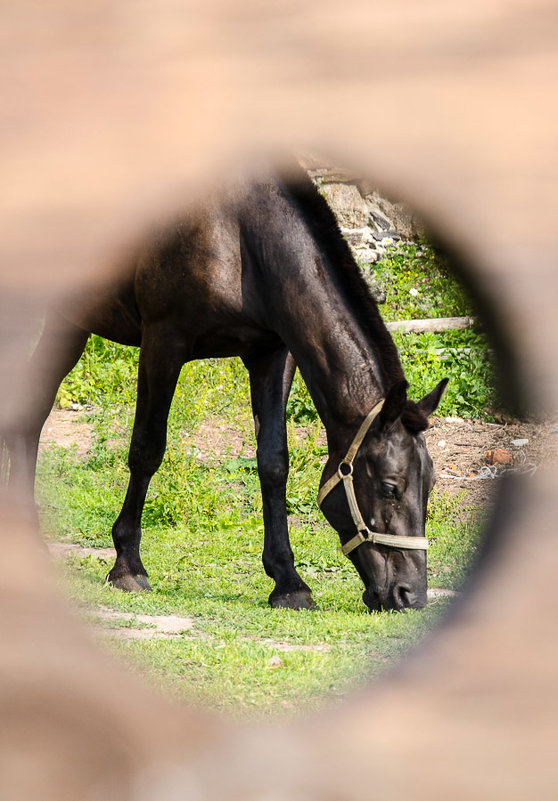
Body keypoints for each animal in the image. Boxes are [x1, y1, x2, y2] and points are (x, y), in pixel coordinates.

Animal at [6, 166, 448, 608]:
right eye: (390, 487)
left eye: (430, 484)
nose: (410, 594)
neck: (239, 236)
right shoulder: (164, 341)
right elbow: (147, 450)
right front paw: (128, 567)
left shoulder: (272, 353)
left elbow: (273, 462)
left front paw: (288, 581)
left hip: (69, 320)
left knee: (31, 411)